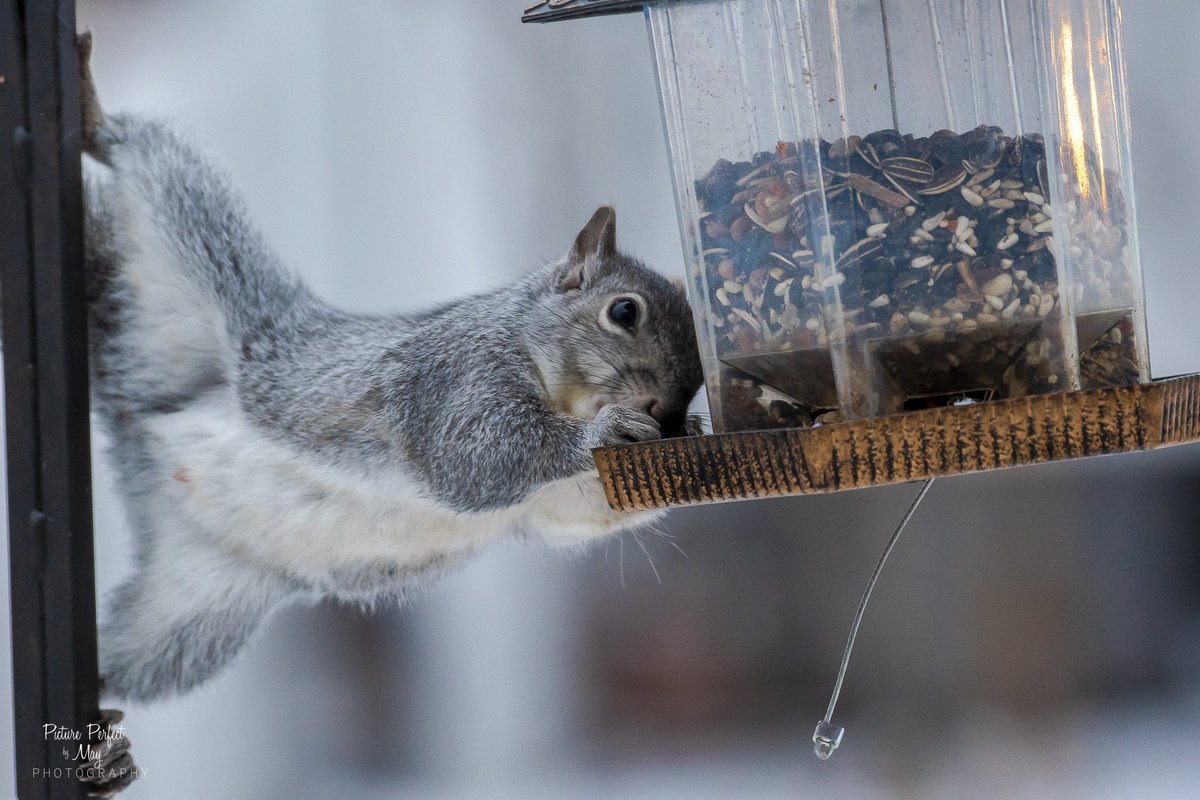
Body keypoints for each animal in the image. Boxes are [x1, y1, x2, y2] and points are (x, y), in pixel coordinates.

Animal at [77, 34, 703, 702]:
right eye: (623, 311)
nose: (669, 408)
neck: (538, 363)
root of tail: (141, 427)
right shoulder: (453, 378)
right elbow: (476, 458)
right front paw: (601, 431)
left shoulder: (553, 503)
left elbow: (573, 513)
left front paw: (685, 435)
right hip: (192, 229)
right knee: (148, 157)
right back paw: (93, 112)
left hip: (192, 614)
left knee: (127, 660)